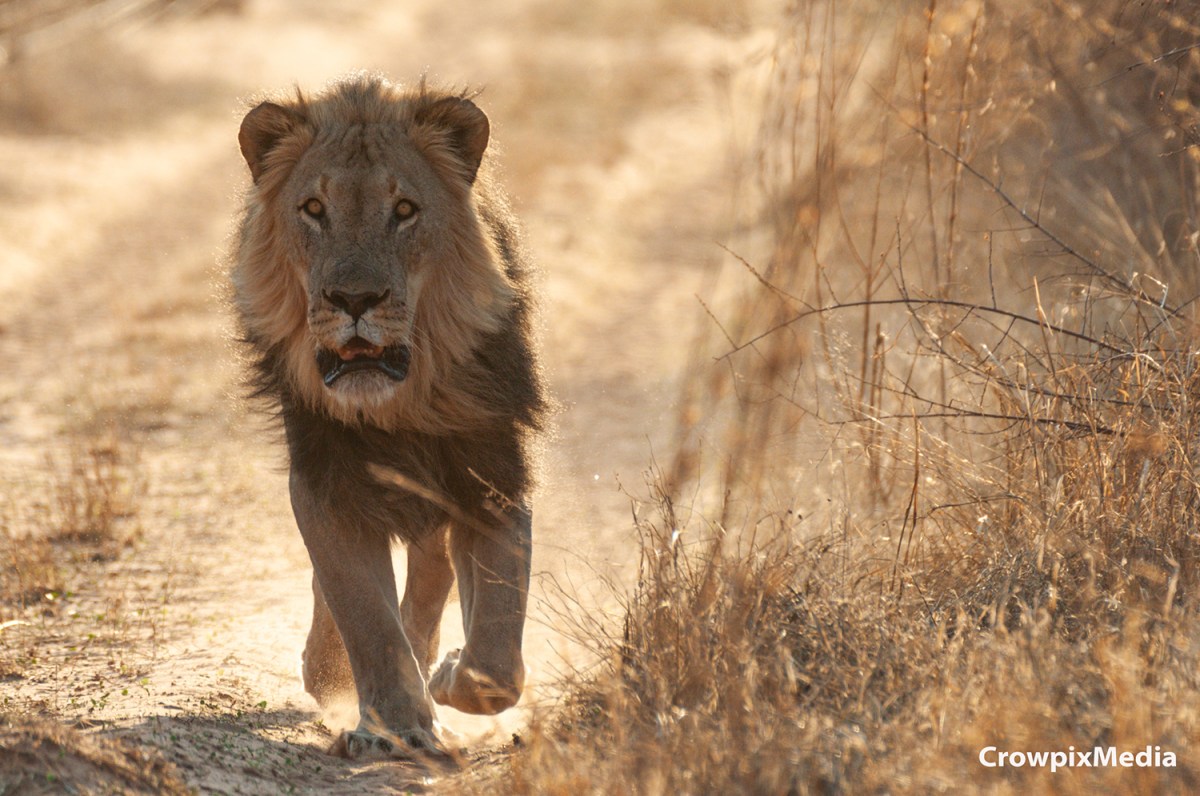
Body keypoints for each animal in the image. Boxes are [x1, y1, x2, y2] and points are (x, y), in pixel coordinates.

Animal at [231, 75, 546, 761]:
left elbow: (499, 641)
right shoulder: (325, 480)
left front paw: (450, 678)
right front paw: (396, 726)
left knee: (431, 574)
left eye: (404, 210)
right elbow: (363, 613)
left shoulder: (491, 472)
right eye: (313, 209)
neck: (401, 405)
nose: (355, 299)